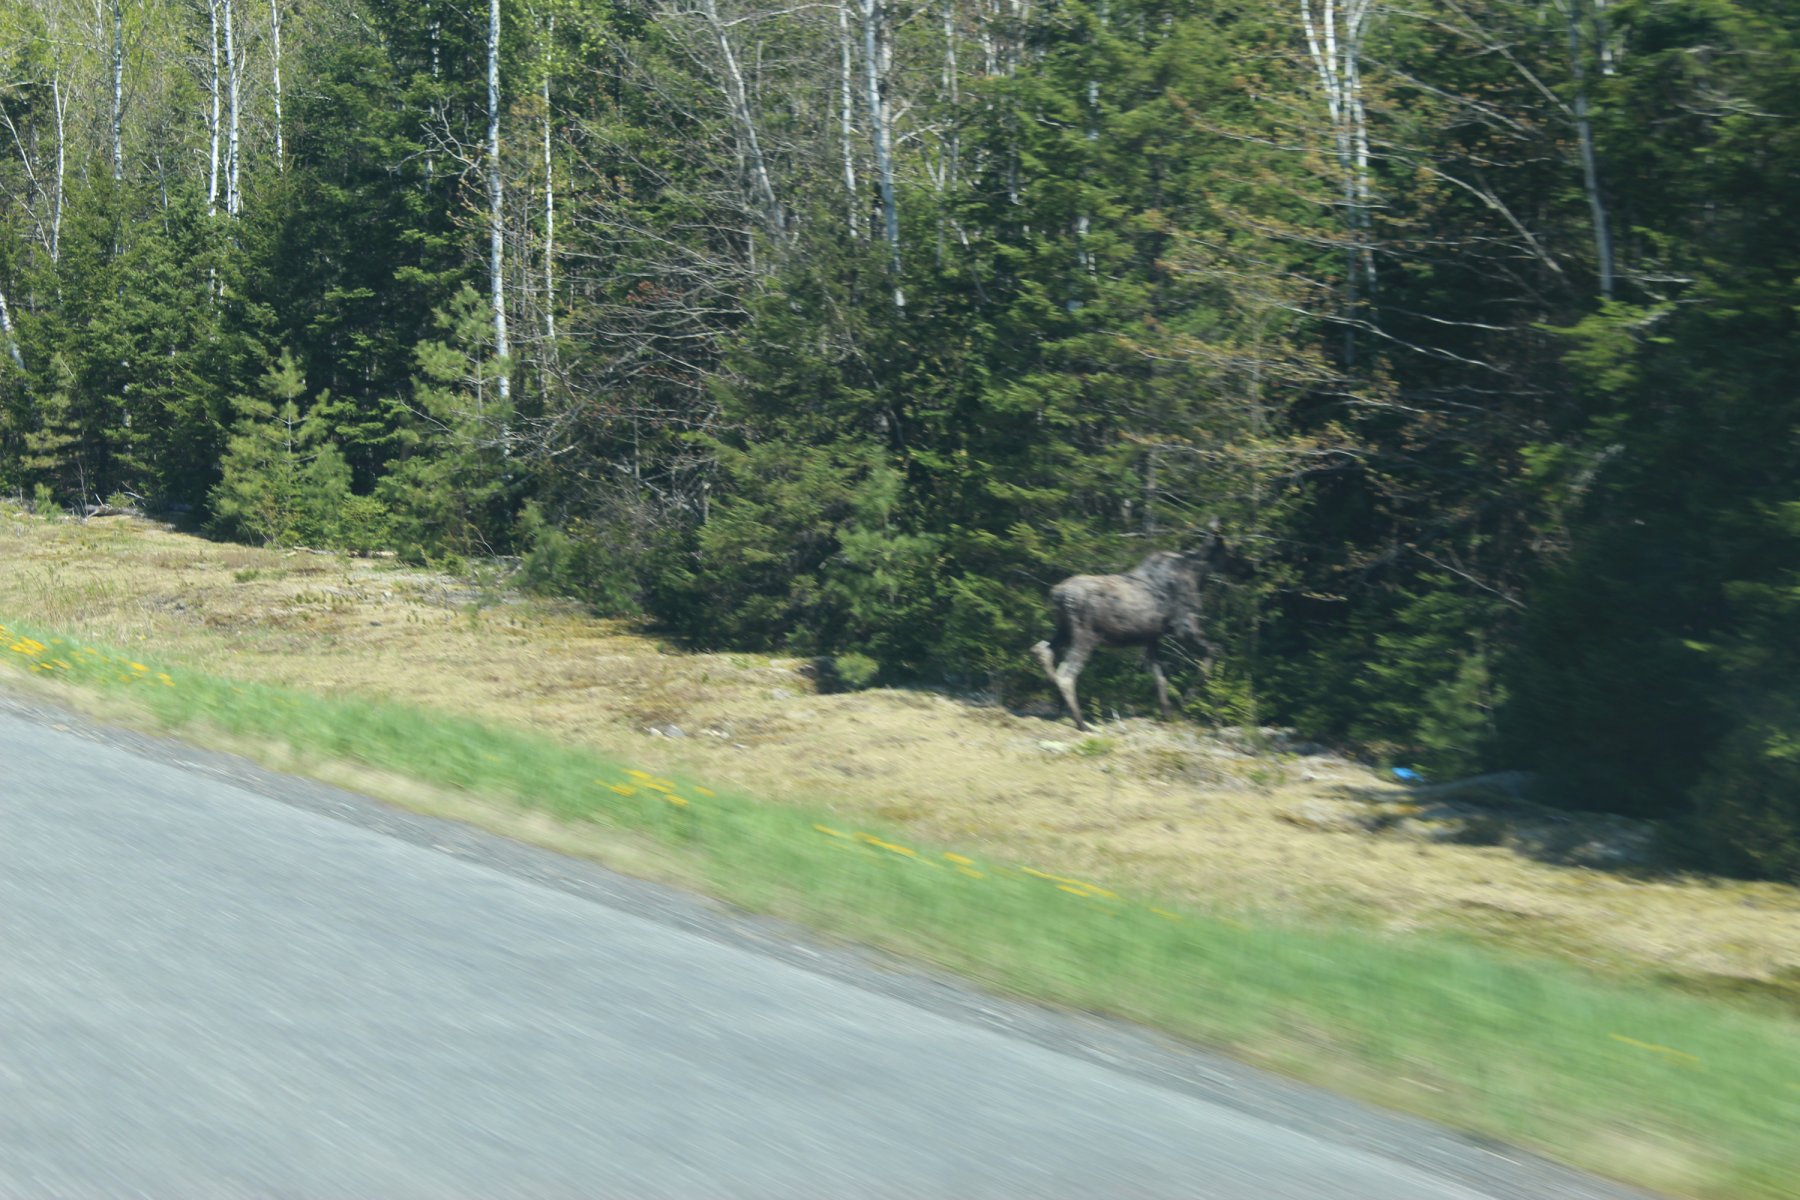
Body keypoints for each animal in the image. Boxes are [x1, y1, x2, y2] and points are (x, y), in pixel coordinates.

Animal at [1029, 525, 1238, 734]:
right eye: (1232, 551)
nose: (1246, 570)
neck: (1197, 574)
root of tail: (1057, 594)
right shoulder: (1184, 625)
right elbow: (1215, 649)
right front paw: (1187, 699)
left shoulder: (1152, 638)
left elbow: (1159, 676)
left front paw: (1168, 713)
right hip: (1085, 635)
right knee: (1065, 674)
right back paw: (1082, 723)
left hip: (1064, 629)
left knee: (1042, 650)